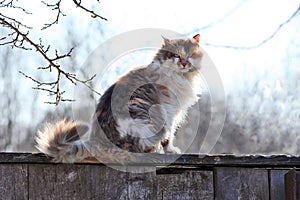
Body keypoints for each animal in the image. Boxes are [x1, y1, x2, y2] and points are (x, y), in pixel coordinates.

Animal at [35, 34, 204, 162]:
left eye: (189, 55)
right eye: (176, 55)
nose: (183, 63)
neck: (182, 76)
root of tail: (98, 143)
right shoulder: (169, 111)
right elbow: (168, 136)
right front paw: (170, 151)